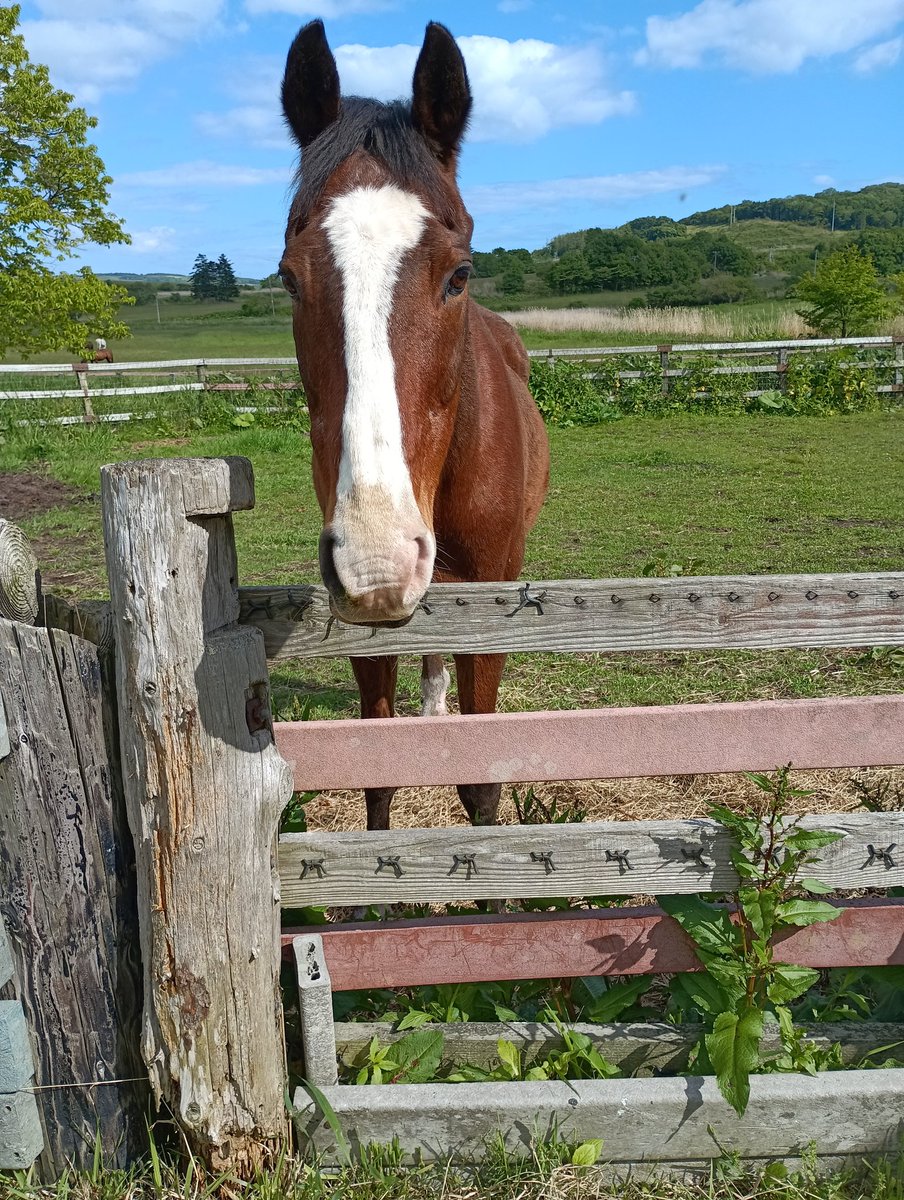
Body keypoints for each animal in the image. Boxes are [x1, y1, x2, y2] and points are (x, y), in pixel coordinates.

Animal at [279, 20, 550, 830]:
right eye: (288, 278)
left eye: (459, 273)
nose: (377, 560)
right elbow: (380, 771)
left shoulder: (492, 603)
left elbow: (480, 783)